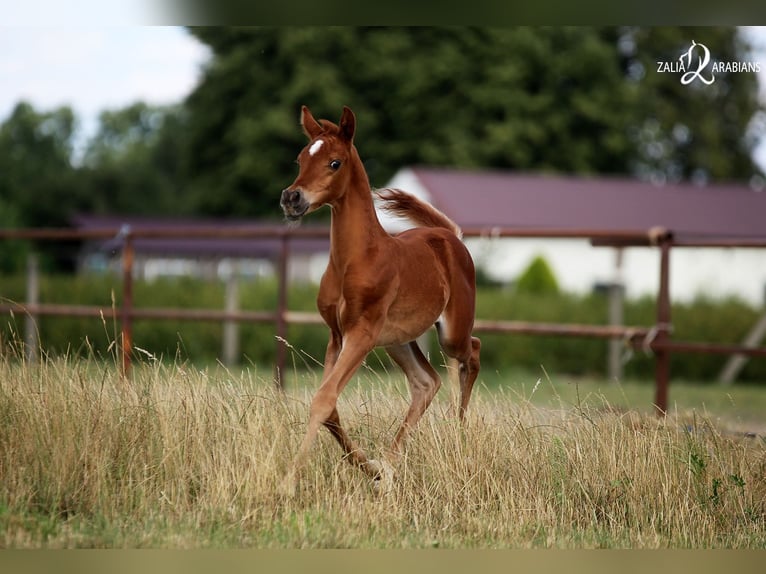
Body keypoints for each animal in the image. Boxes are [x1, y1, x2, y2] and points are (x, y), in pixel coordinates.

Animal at [280, 107, 480, 496]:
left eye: (335, 162)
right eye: (300, 159)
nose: (291, 198)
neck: (356, 258)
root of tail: (450, 236)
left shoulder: (361, 333)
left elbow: (323, 401)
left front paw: (288, 481)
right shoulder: (337, 335)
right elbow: (330, 408)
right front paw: (370, 468)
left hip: (450, 332)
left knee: (473, 352)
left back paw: (460, 434)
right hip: (397, 340)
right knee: (425, 382)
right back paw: (387, 470)